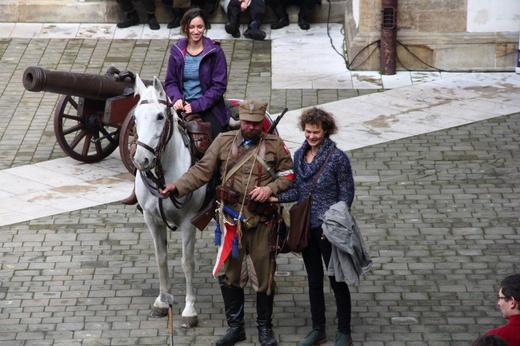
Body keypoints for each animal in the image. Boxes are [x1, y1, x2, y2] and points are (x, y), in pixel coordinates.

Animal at [131, 75, 206, 328]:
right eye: (135, 117)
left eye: (160, 116)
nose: (141, 160)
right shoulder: (151, 220)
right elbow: (161, 258)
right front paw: (162, 302)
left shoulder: (189, 221)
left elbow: (187, 262)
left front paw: (190, 310)